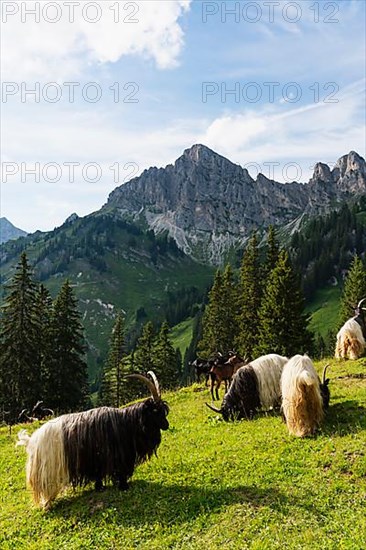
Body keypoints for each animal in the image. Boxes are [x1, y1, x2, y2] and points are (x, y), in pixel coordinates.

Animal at [17, 374, 169, 512]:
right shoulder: (114, 457)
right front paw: (123, 486)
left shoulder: (97, 460)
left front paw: (100, 487)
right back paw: (47, 505)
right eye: (155, 410)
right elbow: (118, 472)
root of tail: (32, 441)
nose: (166, 425)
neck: (126, 423)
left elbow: (98, 475)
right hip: (48, 471)